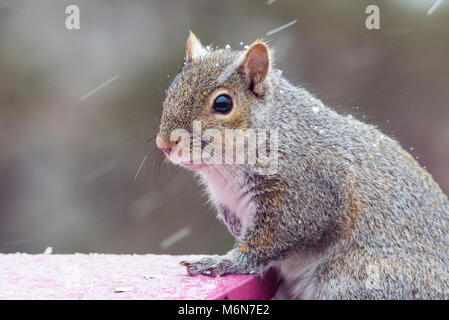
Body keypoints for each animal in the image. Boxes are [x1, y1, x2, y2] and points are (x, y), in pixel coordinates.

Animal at [155, 32, 448, 300]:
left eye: (223, 103)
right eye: (171, 92)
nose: (164, 144)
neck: (223, 169)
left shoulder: (302, 189)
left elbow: (275, 237)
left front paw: (223, 262)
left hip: (358, 278)